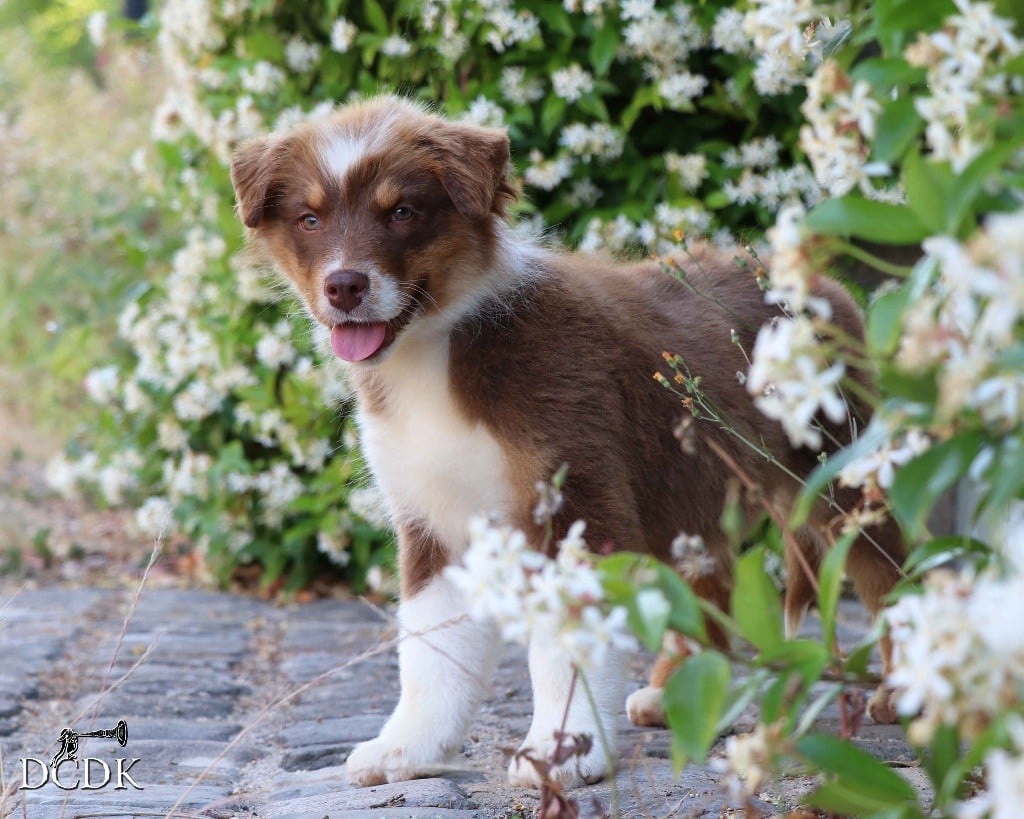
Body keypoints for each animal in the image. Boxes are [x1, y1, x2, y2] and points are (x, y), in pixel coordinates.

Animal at [230, 95, 905, 789]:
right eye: (311, 219)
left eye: (402, 212)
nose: (344, 286)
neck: (438, 353)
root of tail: (822, 287)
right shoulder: (432, 518)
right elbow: (430, 650)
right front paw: (408, 747)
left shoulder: (575, 497)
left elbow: (566, 646)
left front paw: (563, 747)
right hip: (684, 491)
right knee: (713, 577)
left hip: (838, 473)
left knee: (891, 574)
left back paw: (902, 689)